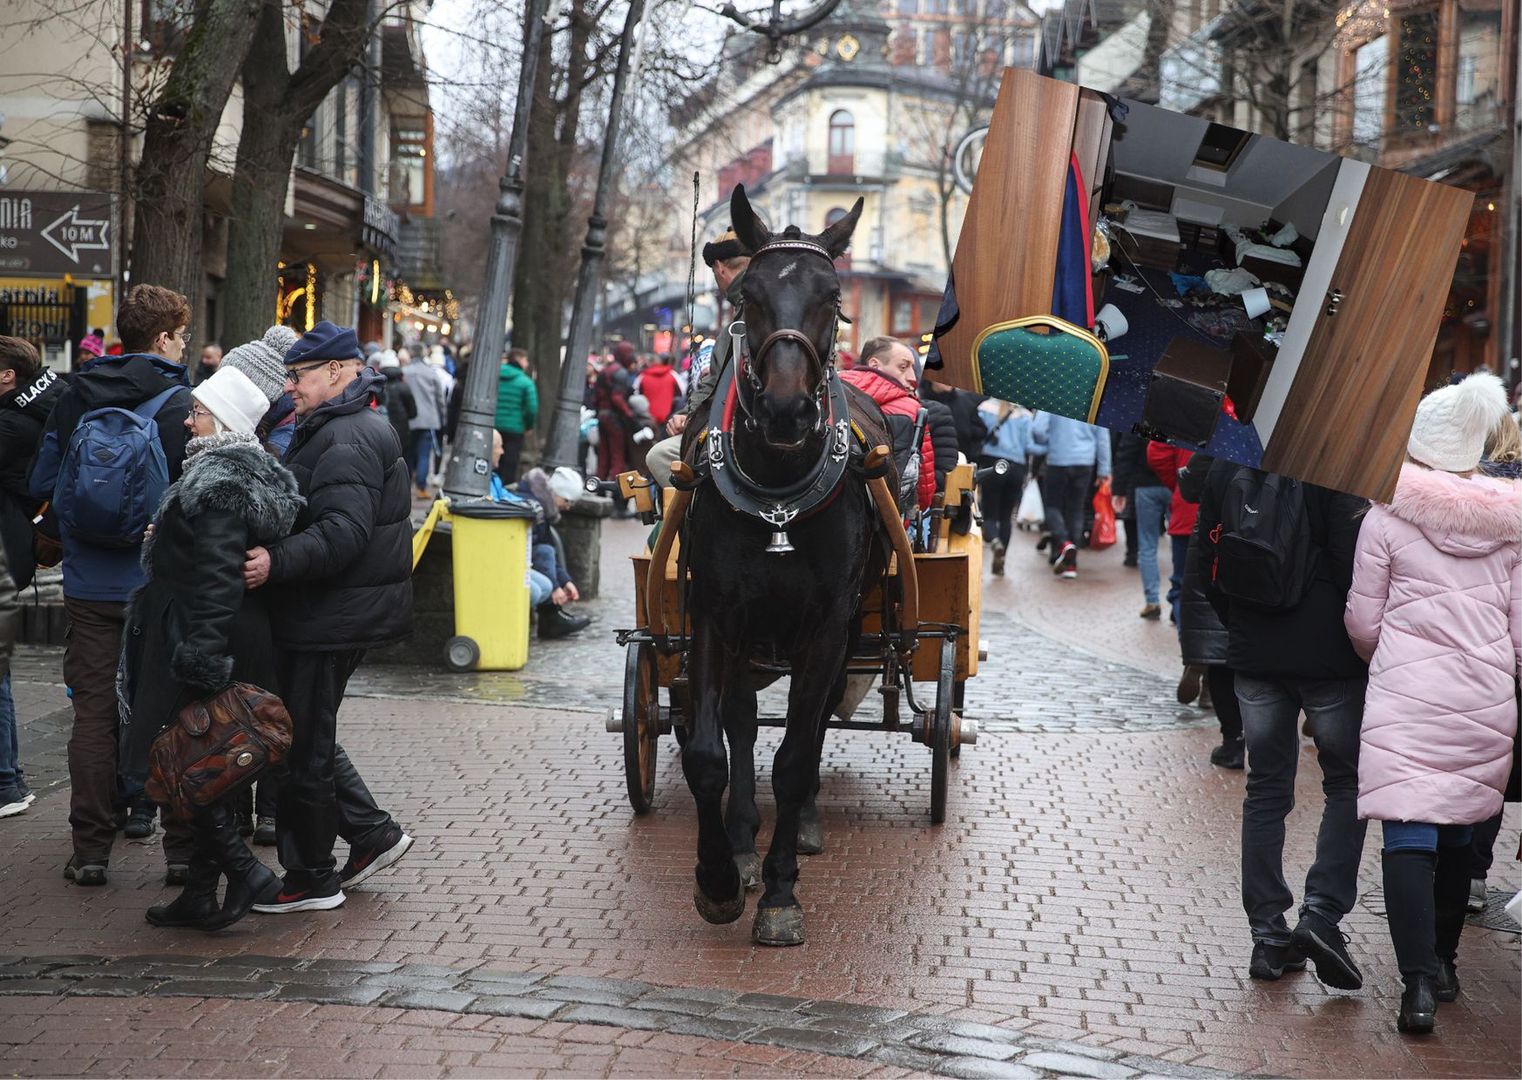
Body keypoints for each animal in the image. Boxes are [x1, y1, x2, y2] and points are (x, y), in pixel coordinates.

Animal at [675, 186, 888, 949]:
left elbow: (796, 756)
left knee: (814, 725)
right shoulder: (715, 613)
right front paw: (717, 879)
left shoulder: (827, 628)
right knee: (741, 719)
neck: (777, 499)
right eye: (748, 295)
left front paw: (779, 892)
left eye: (834, 297)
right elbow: (709, 752)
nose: (789, 409)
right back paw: (741, 839)